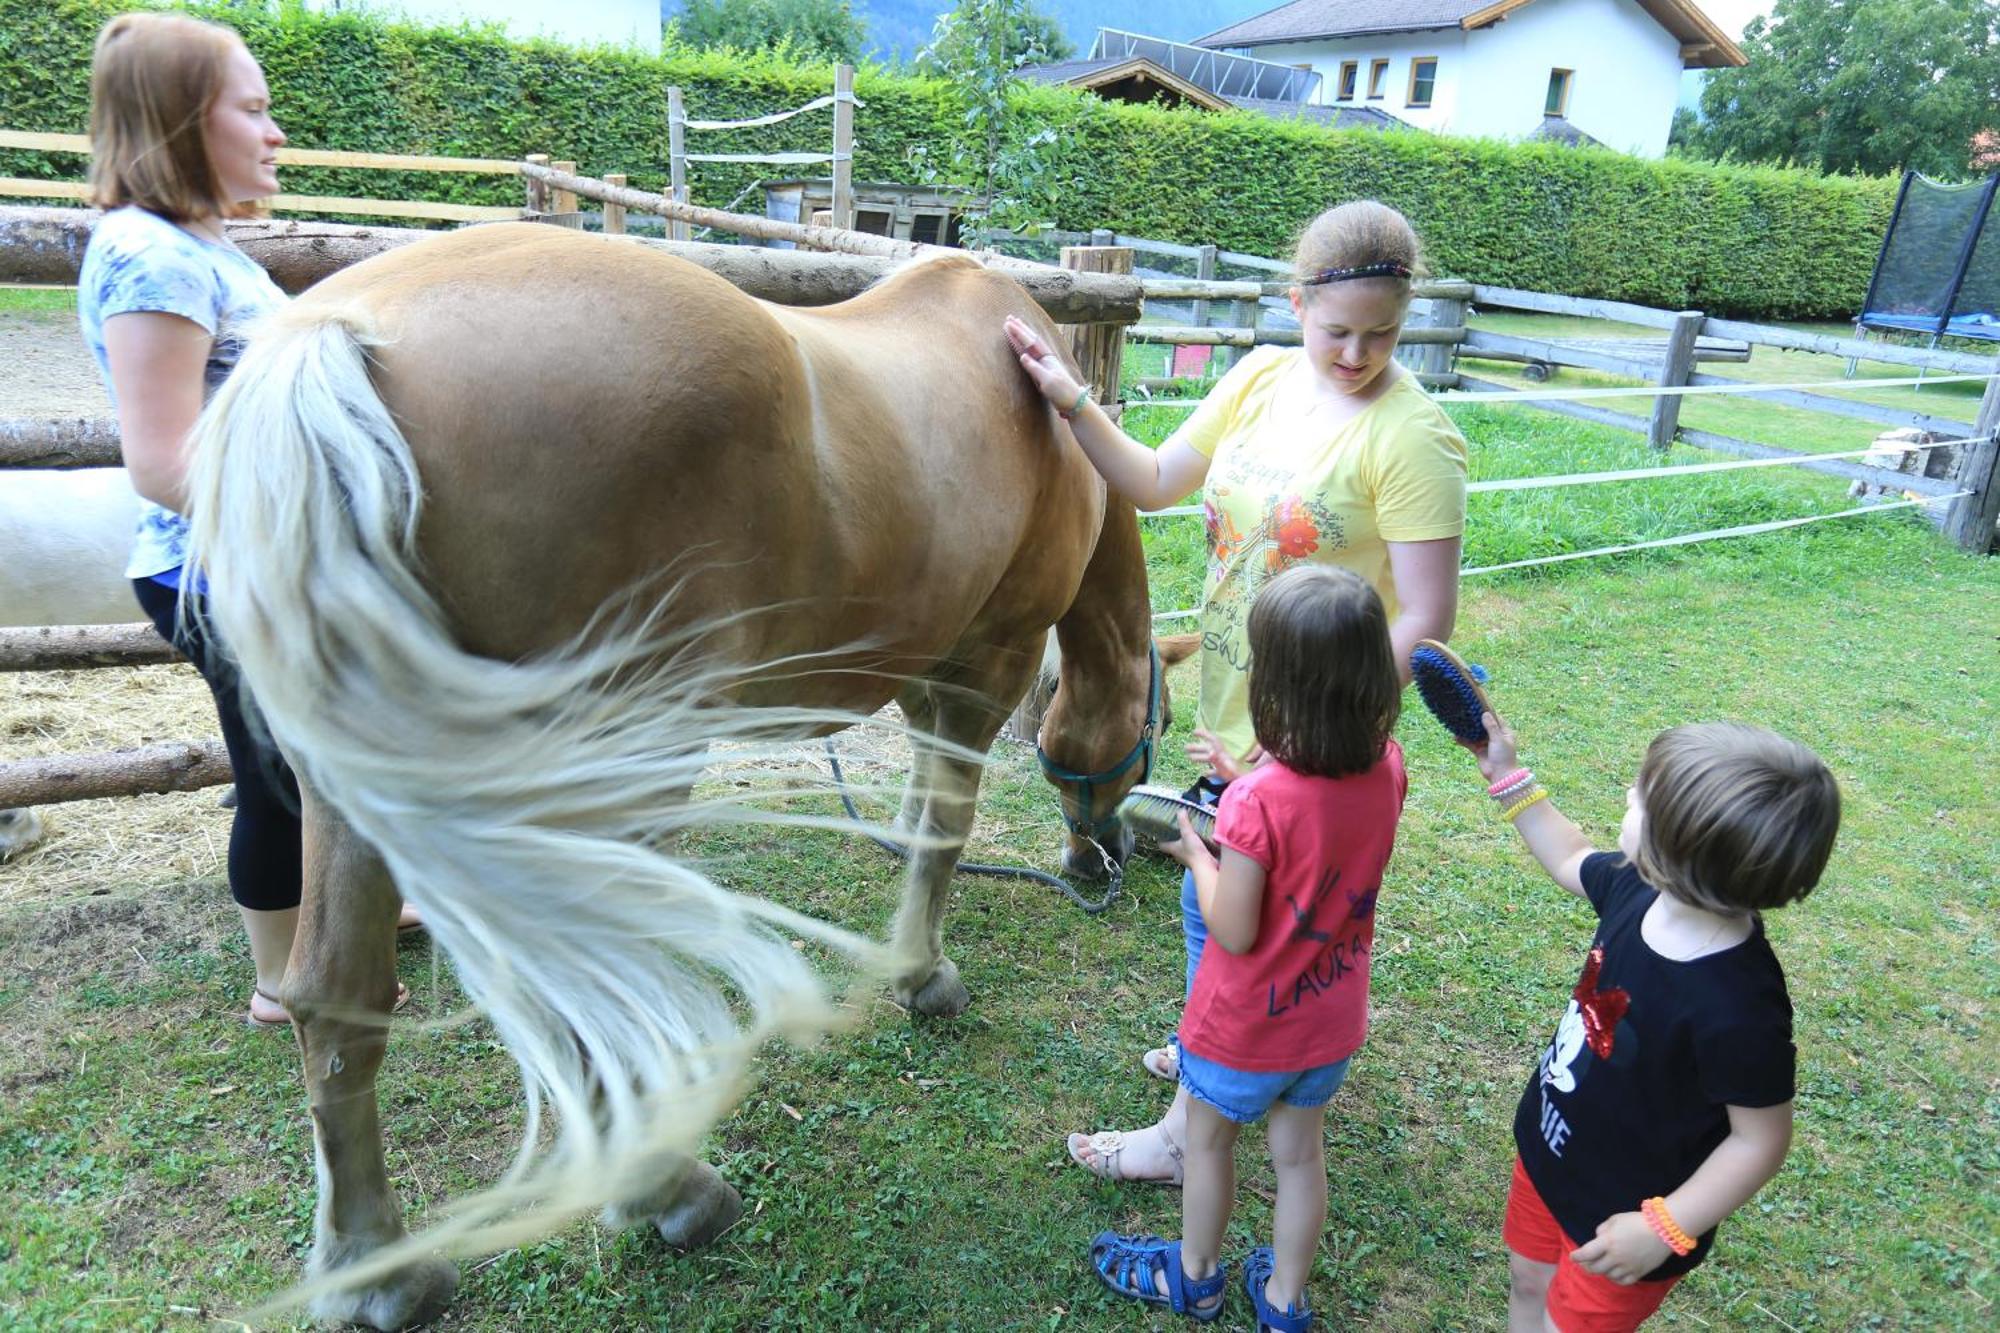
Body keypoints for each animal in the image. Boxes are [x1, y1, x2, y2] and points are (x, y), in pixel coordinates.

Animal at [191, 218, 1160, 1320]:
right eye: (1150, 726)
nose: (1103, 858)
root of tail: (339, 335)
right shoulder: (985, 667)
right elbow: (940, 835)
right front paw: (924, 978)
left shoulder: (924, 681)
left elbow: (917, 820)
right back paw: (670, 1193)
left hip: (362, 789)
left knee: (336, 999)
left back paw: (377, 1270)